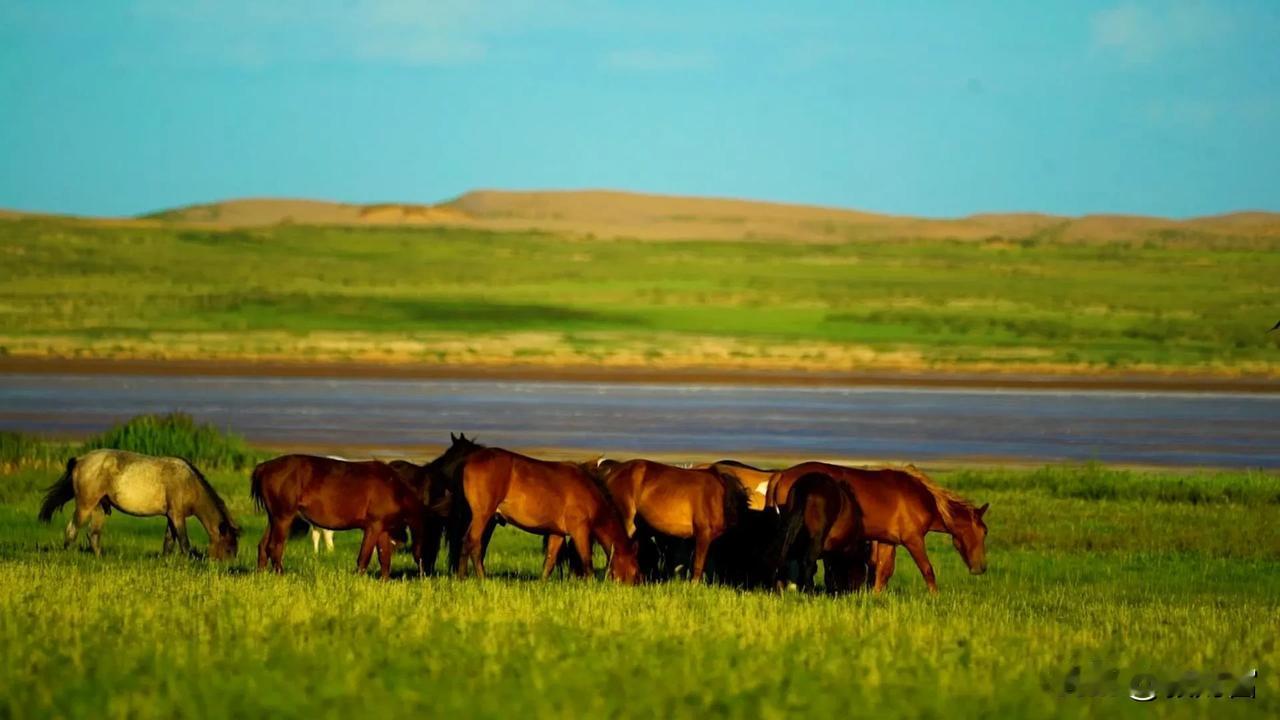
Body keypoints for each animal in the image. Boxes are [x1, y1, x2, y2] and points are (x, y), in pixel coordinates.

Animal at [37, 448, 240, 561]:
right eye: (229, 549)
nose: (223, 568)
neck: (188, 483)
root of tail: (80, 460)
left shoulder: (171, 516)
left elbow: (168, 542)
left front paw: (165, 563)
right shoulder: (177, 516)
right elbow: (184, 543)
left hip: (99, 507)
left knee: (93, 534)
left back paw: (99, 558)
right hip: (85, 506)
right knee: (72, 529)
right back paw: (68, 556)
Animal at [250, 453, 430, 576]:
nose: (425, 575)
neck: (393, 488)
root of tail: (263, 467)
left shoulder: (382, 529)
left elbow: (384, 558)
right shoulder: (372, 527)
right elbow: (364, 558)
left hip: (274, 518)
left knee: (263, 546)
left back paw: (261, 576)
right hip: (283, 518)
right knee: (275, 546)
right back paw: (281, 574)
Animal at [437, 438, 640, 584]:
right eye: (635, 569)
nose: (636, 585)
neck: (589, 492)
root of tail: (469, 459)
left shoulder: (557, 533)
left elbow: (549, 561)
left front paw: (542, 584)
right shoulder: (580, 531)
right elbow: (586, 561)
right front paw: (590, 586)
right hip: (483, 515)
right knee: (472, 542)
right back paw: (474, 578)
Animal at [762, 461, 983, 591]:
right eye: (984, 532)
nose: (981, 568)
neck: (922, 497)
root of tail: (781, 474)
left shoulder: (887, 541)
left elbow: (883, 572)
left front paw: (877, 597)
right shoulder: (913, 540)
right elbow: (927, 570)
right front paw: (934, 597)